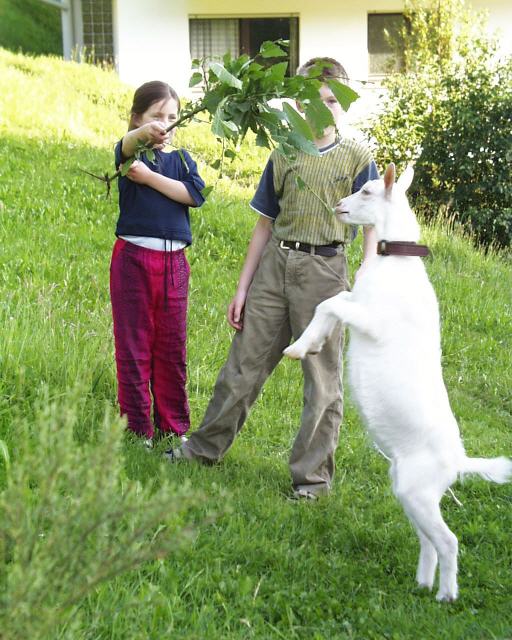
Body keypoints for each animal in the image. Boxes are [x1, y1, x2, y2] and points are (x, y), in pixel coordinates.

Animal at [284, 163, 512, 601]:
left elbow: (330, 303)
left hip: (419, 491)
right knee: (428, 540)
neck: (395, 266)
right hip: (407, 490)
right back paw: (423, 583)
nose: (339, 206)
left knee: (448, 540)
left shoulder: (372, 320)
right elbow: (332, 303)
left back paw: (446, 595)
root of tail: (458, 462)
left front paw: (299, 346)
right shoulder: (358, 303)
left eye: (368, 191)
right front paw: (308, 344)